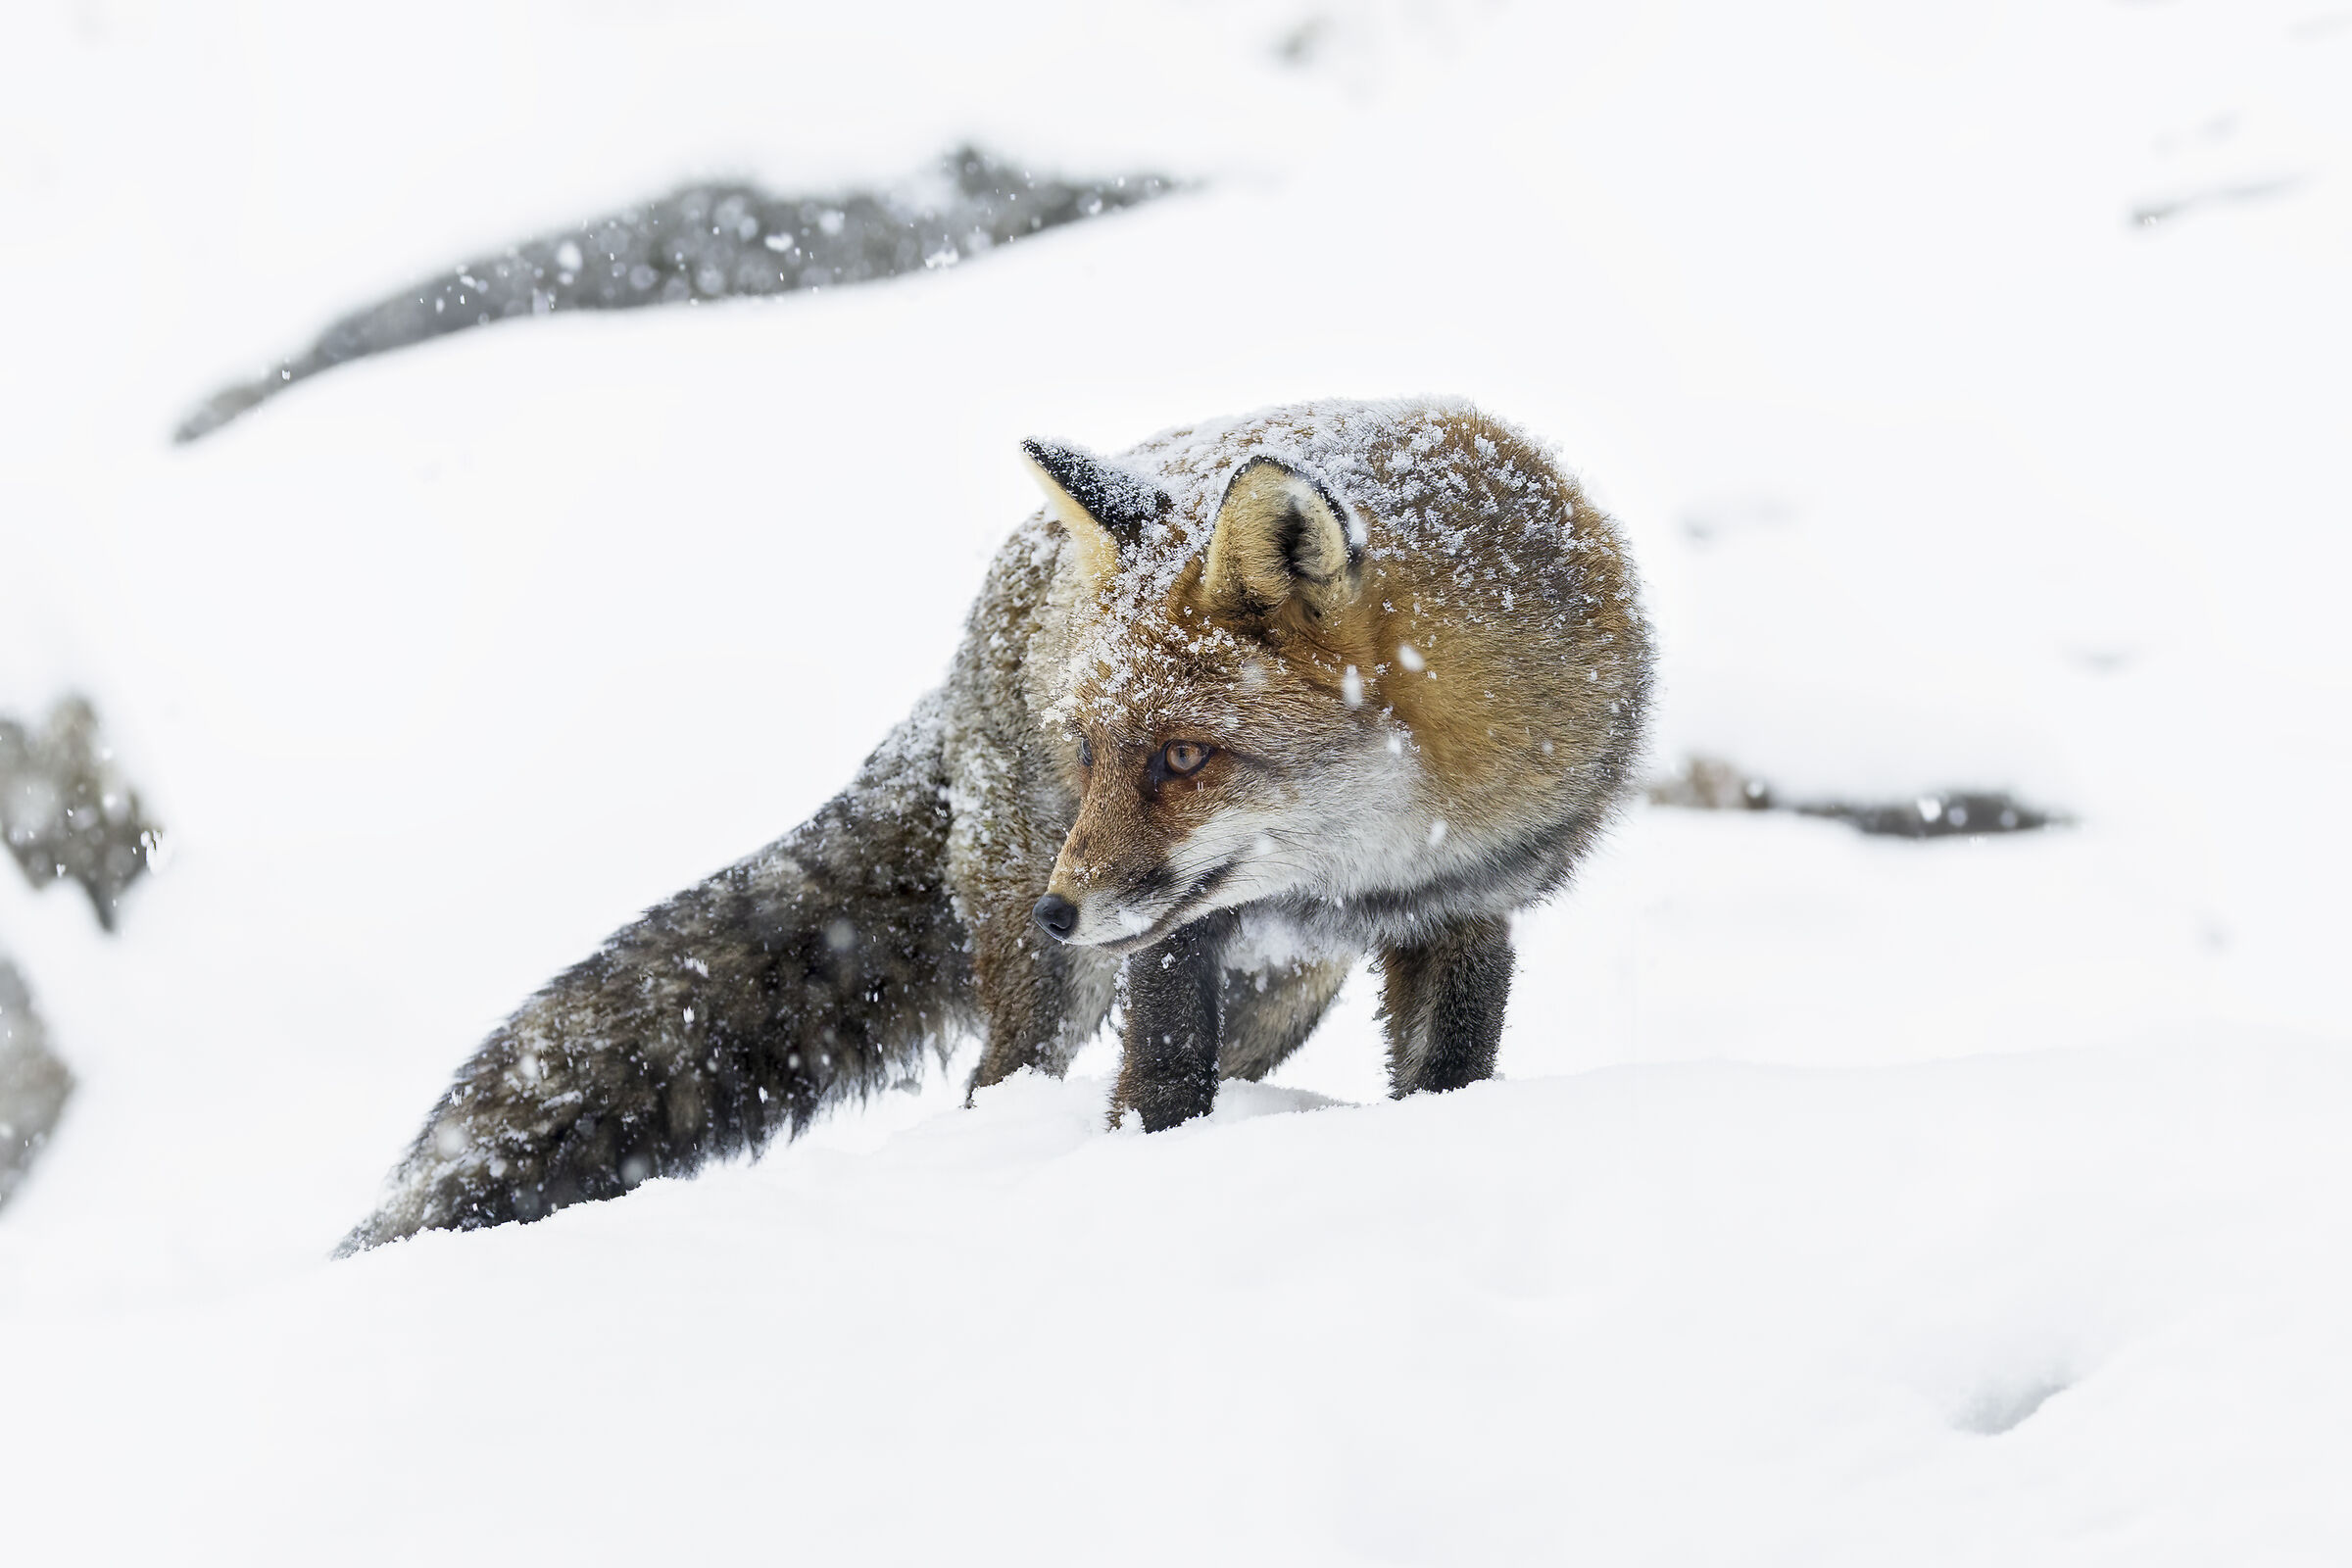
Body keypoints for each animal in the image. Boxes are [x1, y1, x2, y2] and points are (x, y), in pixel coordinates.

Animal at [338, 398, 1652, 1253]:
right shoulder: (1171, 942)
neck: (1376, 861)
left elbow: (1449, 1075)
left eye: (1185, 757)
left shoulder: (1474, 906)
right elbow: (1160, 1083)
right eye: (1092, 751)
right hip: (1062, 988)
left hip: (1280, 996)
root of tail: (963, 660)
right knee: (999, 1086)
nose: (1057, 911)